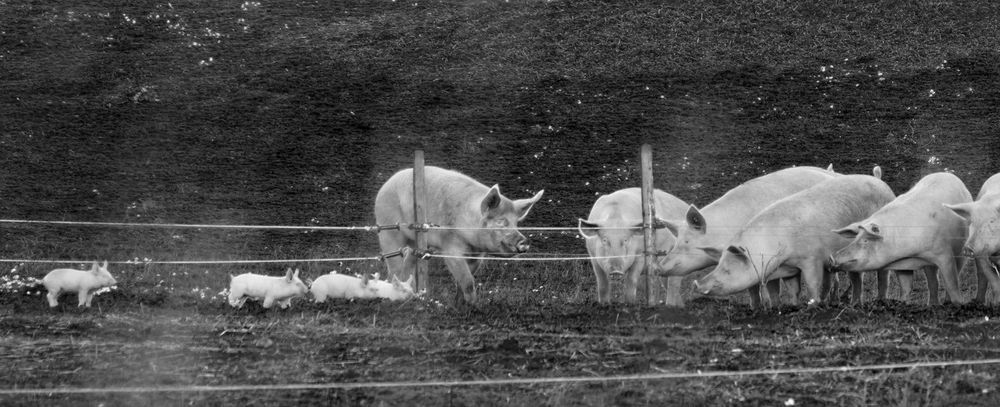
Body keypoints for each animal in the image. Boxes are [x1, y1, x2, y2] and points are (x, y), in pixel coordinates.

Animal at [376, 166, 548, 306]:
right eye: (501, 221)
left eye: (516, 223)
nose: (524, 241)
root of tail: (386, 184)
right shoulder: (450, 249)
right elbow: (467, 280)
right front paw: (474, 306)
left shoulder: (476, 255)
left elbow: (464, 280)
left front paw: (460, 304)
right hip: (388, 230)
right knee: (394, 266)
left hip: (415, 242)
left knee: (408, 264)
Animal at [656, 167, 836, 308]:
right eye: (675, 242)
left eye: (687, 242)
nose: (658, 267)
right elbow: (752, 288)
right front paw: (755, 307)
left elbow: (770, 286)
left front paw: (771, 306)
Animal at [692, 174, 896, 304]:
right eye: (718, 265)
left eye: (727, 270)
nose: (697, 285)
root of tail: (882, 183)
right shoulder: (790, 267)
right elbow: (793, 288)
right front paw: (793, 305)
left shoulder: (812, 258)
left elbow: (812, 283)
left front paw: (813, 305)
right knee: (856, 278)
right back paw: (853, 303)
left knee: (883, 275)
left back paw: (880, 300)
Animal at [832, 172, 972, 306]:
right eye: (855, 238)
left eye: (866, 241)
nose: (834, 257)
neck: (910, 255)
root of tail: (949, 175)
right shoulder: (903, 265)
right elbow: (905, 286)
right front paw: (902, 303)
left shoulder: (944, 253)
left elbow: (951, 282)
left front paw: (959, 304)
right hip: (930, 265)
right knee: (932, 279)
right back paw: (932, 304)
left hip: (960, 250)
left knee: (956, 271)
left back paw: (945, 302)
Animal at [944, 171, 1000, 304]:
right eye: (972, 222)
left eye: (992, 221)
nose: (968, 248)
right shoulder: (984, 255)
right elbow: (994, 282)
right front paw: (996, 304)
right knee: (981, 275)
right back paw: (978, 302)